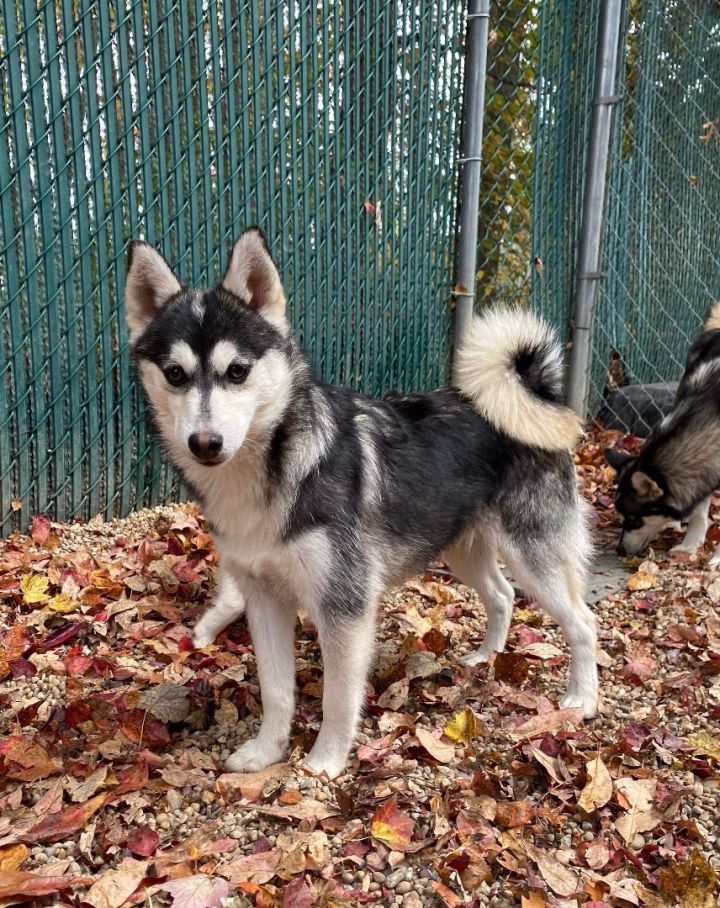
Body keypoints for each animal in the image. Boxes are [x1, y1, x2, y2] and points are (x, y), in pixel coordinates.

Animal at [124, 231, 596, 776]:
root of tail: (537, 393)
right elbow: (276, 691)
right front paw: (266, 752)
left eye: (237, 371)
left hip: (533, 556)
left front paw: (324, 762)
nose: (205, 443)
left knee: (583, 622)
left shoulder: (344, 606)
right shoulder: (264, 599)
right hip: (462, 548)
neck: (276, 469)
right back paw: (486, 659)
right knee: (501, 595)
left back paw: (583, 699)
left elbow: (338, 697)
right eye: (175, 374)